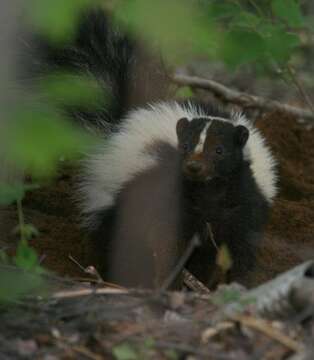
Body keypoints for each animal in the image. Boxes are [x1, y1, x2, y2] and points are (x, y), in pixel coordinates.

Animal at [22, 8, 278, 288]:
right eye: (184, 146)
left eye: (219, 151)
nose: (194, 166)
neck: (208, 194)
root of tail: (122, 121)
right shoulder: (167, 196)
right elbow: (167, 244)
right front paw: (171, 283)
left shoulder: (244, 203)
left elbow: (240, 249)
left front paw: (236, 284)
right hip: (117, 203)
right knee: (115, 241)